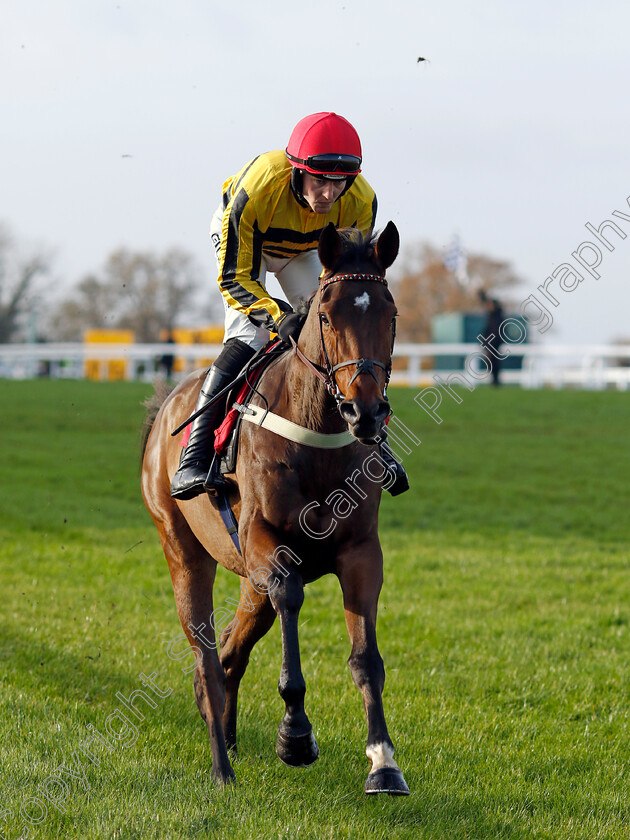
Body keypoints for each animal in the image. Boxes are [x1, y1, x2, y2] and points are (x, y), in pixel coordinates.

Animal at [141, 221, 412, 796]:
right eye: (327, 315)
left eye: (390, 314)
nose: (365, 410)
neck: (317, 433)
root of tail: (166, 406)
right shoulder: (269, 544)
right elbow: (290, 603)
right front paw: (295, 735)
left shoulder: (361, 553)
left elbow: (366, 659)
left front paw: (383, 762)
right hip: (183, 550)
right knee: (206, 656)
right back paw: (221, 767)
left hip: (248, 581)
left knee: (230, 650)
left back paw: (227, 732)